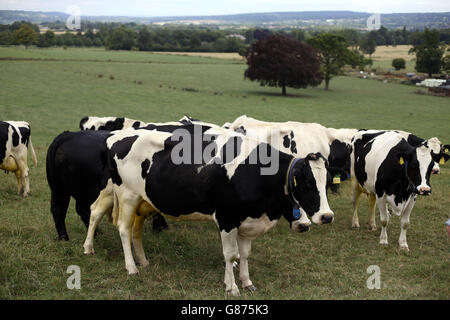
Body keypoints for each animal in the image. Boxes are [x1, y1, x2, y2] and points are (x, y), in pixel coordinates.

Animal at [83, 124, 334, 296]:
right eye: (306, 183)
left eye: (326, 183)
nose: (327, 216)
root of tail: (116, 136)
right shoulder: (226, 218)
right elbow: (231, 254)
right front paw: (232, 287)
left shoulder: (247, 221)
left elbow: (244, 254)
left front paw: (246, 282)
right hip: (126, 195)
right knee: (119, 226)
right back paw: (126, 265)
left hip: (143, 200)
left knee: (133, 229)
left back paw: (141, 261)